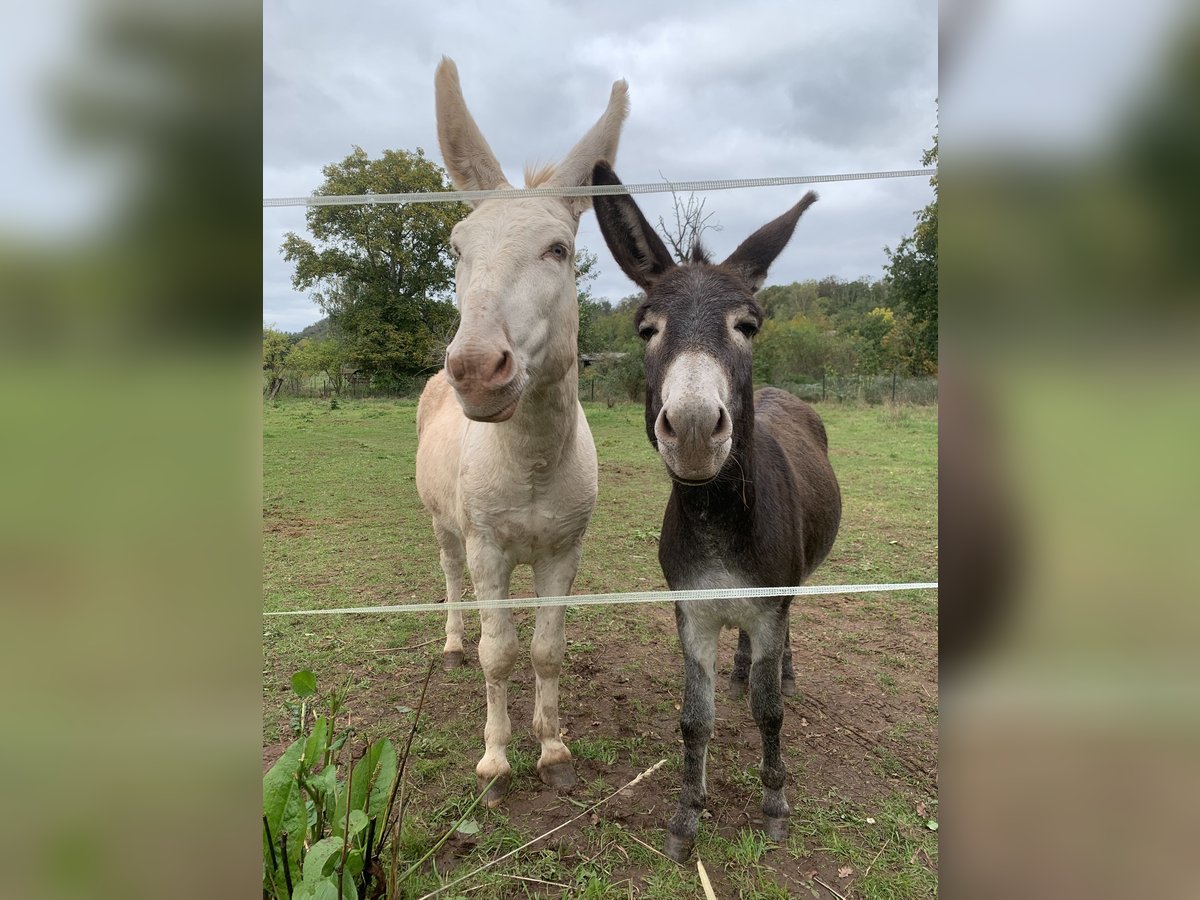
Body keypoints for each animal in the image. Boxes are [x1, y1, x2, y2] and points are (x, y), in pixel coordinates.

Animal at [415, 59, 628, 807]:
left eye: (558, 249)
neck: (532, 458)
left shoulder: (563, 552)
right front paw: (496, 760)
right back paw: (452, 645)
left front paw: (554, 750)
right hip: (445, 526)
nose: (477, 370)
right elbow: (499, 653)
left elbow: (546, 649)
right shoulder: (490, 552)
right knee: (449, 578)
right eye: (456, 248)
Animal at [591, 161, 842, 860]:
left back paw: (779, 670)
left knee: (777, 650)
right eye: (646, 329)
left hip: (787, 591)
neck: (718, 521)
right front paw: (686, 816)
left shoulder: (768, 602)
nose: (697, 429)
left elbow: (768, 712)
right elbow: (694, 719)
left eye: (747, 326)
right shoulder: (693, 613)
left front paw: (775, 803)